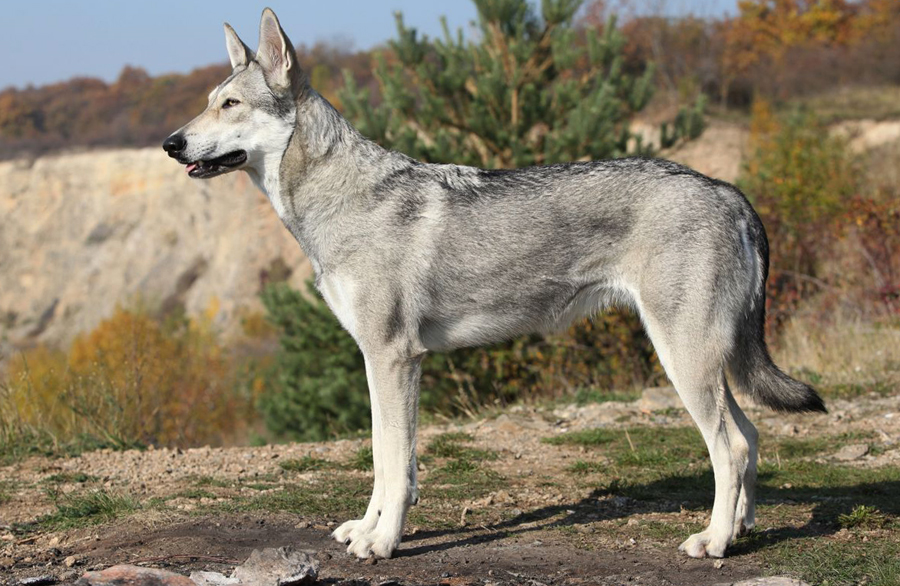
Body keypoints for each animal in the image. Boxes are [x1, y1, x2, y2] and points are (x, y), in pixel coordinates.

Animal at [162, 6, 824, 560]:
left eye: (231, 105)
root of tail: (729, 192)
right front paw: (366, 529)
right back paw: (740, 529)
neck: (339, 201)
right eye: (209, 101)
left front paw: (384, 544)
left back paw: (713, 542)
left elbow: (397, 467)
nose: (171, 143)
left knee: (730, 448)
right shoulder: (376, 361)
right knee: (751, 437)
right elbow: (381, 458)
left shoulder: (396, 358)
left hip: (683, 359)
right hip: (707, 364)